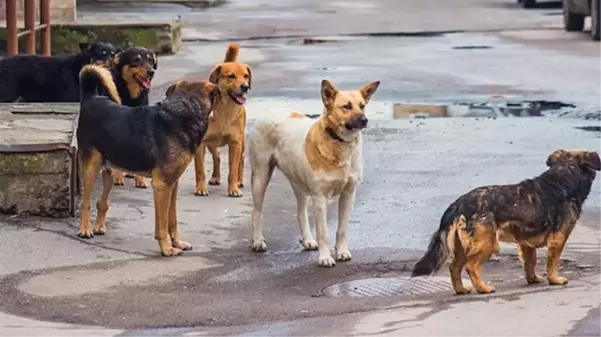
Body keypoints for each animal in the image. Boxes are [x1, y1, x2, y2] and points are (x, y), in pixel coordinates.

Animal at [76, 63, 219, 256]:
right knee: (84, 202)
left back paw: (99, 226)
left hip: (110, 169)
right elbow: (162, 224)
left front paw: (177, 242)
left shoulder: (172, 184)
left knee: (102, 201)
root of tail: (91, 98)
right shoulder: (162, 186)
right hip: (91, 167)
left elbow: (172, 220)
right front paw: (166, 248)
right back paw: (85, 229)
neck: (182, 113)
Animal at [192, 44, 248, 197]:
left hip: (242, 142)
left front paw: (233, 188)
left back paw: (239, 181)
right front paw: (200, 188)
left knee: (241, 160)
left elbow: (233, 169)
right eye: (231, 76)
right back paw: (215, 177)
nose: (245, 87)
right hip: (211, 143)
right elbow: (200, 169)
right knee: (216, 156)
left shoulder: (235, 143)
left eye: (246, 76)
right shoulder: (200, 144)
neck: (225, 111)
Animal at [248, 77, 380, 266]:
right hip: (260, 176)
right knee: (256, 212)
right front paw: (325, 257)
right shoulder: (320, 198)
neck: (338, 142)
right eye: (346, 106)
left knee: (301, 213)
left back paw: (307, 240)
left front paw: (341, 251)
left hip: (299, 183)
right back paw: (258, 241)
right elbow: (323, 232)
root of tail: (270, 110)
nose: (364, 120)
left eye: (362, 105)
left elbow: (342, 229)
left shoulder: (349, 194)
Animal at [410, 150, 600, 294]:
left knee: (454, 267)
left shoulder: (525, 243)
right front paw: (554, 279)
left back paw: (461, 289)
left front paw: (532, 279)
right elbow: (552, 262)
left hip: (463, 246)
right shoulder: (558, 239)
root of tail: (458, 204)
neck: (563, 177)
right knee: (471, 266)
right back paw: (483, 288)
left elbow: (530, 262)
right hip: (487, 243)